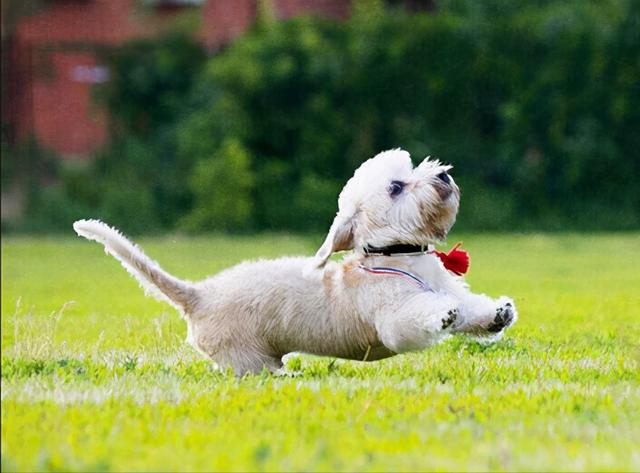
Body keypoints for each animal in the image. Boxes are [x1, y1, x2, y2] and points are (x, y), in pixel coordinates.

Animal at [74, 149, 516, 374]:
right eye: (396, 187)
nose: (444, 176)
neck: (401, 255)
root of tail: (198, 295)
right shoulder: (393, 321)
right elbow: (423, 316)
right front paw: (442, 314)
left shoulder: (446, 286)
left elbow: (471, 309)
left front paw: (498, 314)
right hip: (246, 359)